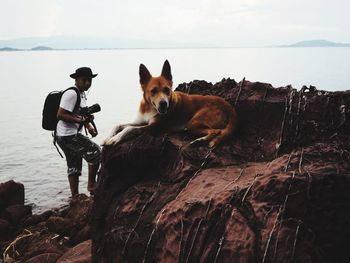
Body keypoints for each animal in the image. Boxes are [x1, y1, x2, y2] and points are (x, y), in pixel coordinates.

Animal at [102, 60, 237, 148]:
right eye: (153, 91)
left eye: (167, 89)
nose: (163, 104)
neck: (149, 107)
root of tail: (226, 104)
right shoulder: (140, 121)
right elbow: (119, 125)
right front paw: (108, 137)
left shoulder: (153, 127)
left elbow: (129, 129)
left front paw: (115, 139)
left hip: (193, 122)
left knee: (216, 131)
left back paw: (200, 140)